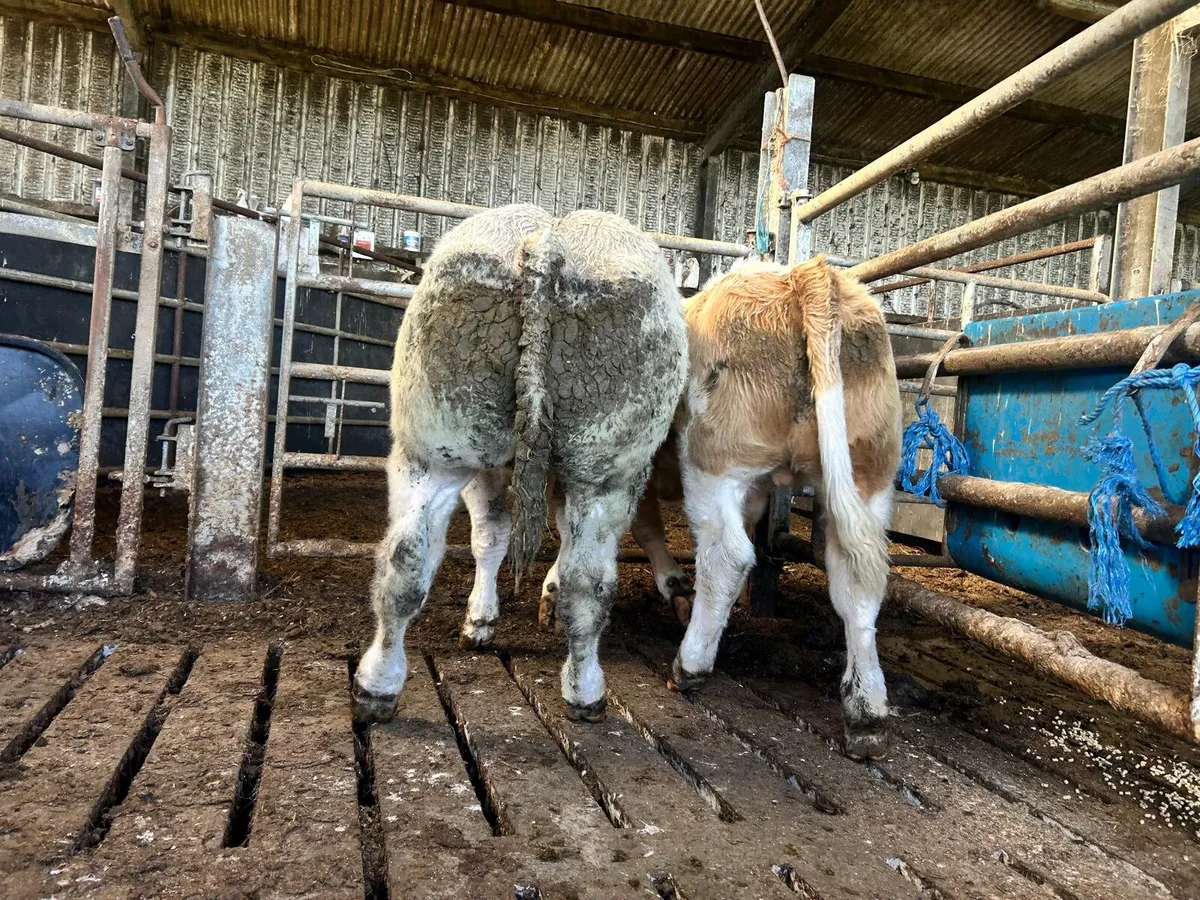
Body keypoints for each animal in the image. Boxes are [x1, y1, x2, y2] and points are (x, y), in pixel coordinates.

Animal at [352, 204, 688, 724]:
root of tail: (546, 243)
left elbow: (493, 534)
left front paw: (482, 618)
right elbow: (513, 534)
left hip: (445, 452)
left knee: (409, 560)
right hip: (590, 464)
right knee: (579, 582)